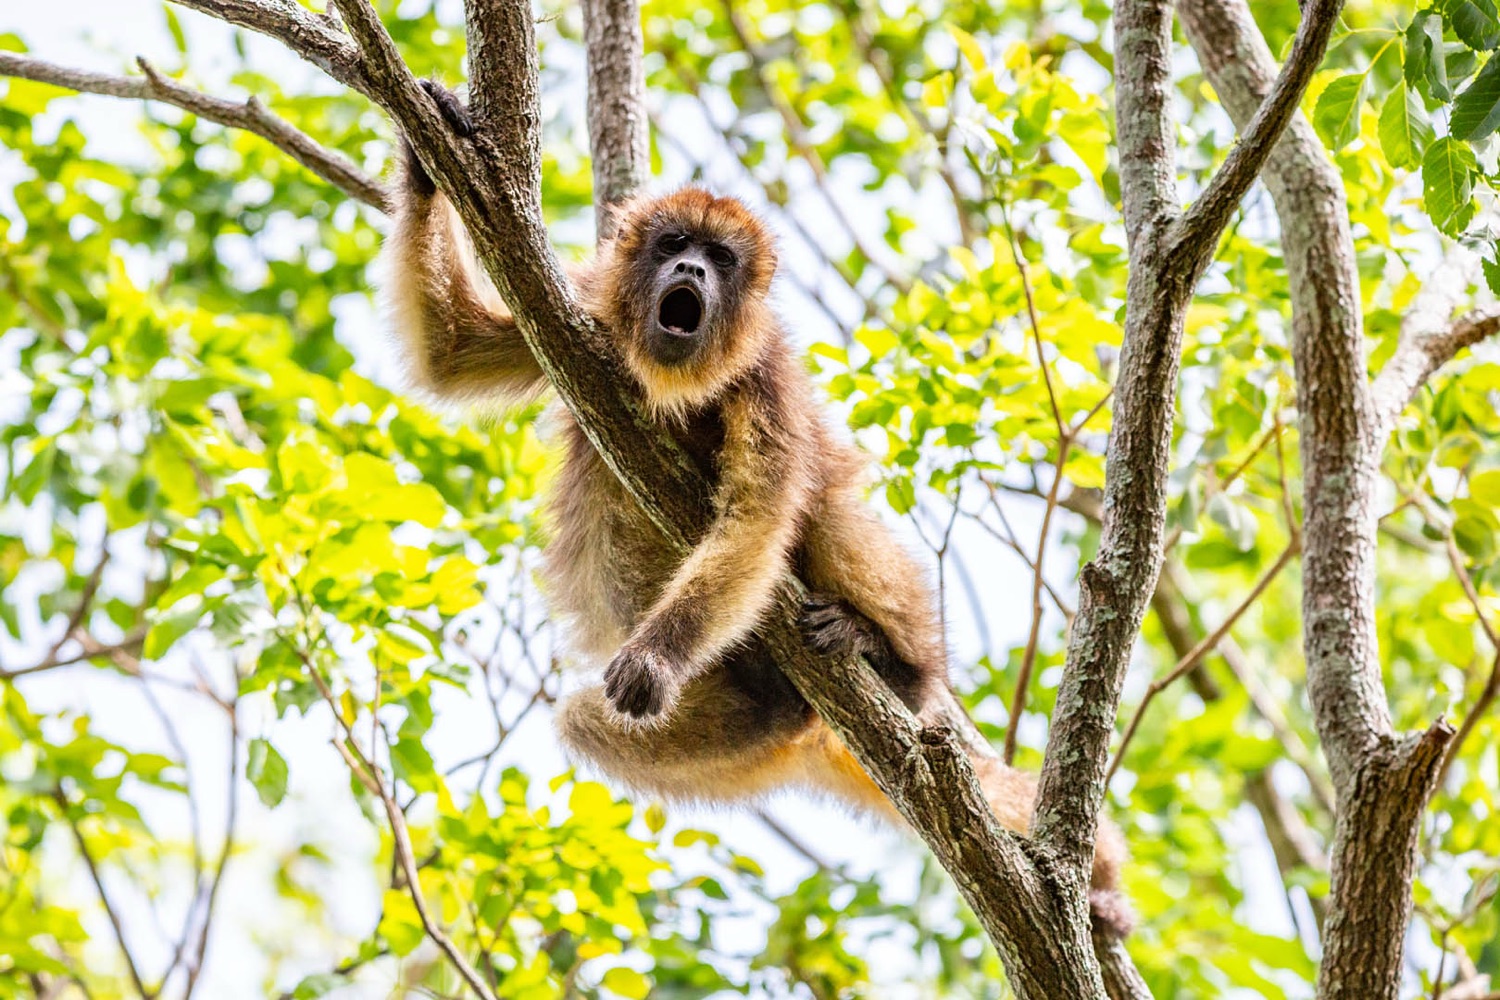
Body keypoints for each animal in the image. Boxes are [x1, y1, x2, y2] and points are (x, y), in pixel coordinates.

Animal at [380, 80, 1132, 938]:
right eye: (675, 242)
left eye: (720, 259)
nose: (689, 270)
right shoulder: (582, 313)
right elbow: (453, 351)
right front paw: (423, 158)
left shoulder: (763, 373)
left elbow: (760, 521)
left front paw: (658, 655)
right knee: (590, 722)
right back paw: (776, 707)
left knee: (827, 517)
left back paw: (893, 664)